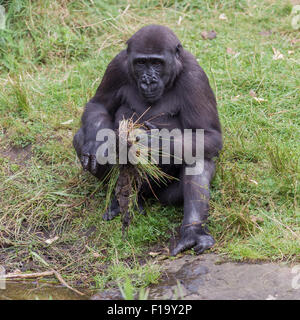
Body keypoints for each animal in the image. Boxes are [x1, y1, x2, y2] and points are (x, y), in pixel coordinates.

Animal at [73, 24, 223, 255]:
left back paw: (193, 231)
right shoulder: (117, 65)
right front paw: (99, 144)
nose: (148, 80)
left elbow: (208, 135)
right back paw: (121, 200)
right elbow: (98, 105)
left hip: (162, 195)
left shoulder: (195, 77)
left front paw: (153, 143)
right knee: (82, 136)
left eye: (157, 63)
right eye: (141, 63)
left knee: (198, 157)